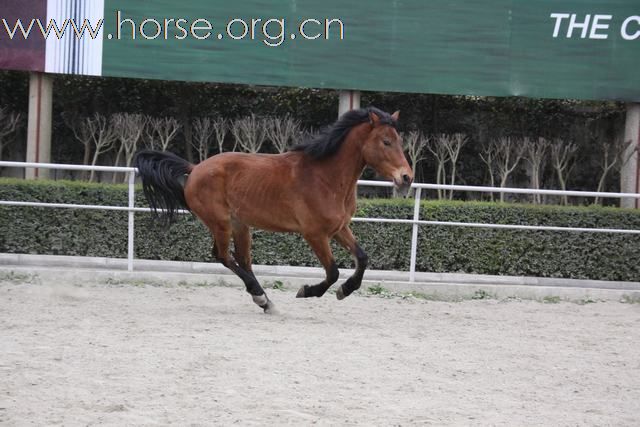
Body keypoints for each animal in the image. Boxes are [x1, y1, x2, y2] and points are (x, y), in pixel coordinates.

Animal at [135, 107, 416, 314]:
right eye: (386, 141)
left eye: (399, 141)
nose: (407, 178)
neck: (326, 177)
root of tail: (194, 169)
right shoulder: (315, 234)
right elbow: (333, 271)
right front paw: (307, 291)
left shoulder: (339, 229)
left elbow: (362, 258)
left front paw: (345, 290)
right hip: (220, 223)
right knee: (223, 256)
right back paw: (261, 297)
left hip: (240, 225)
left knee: (242, 260)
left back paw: (264, 300)